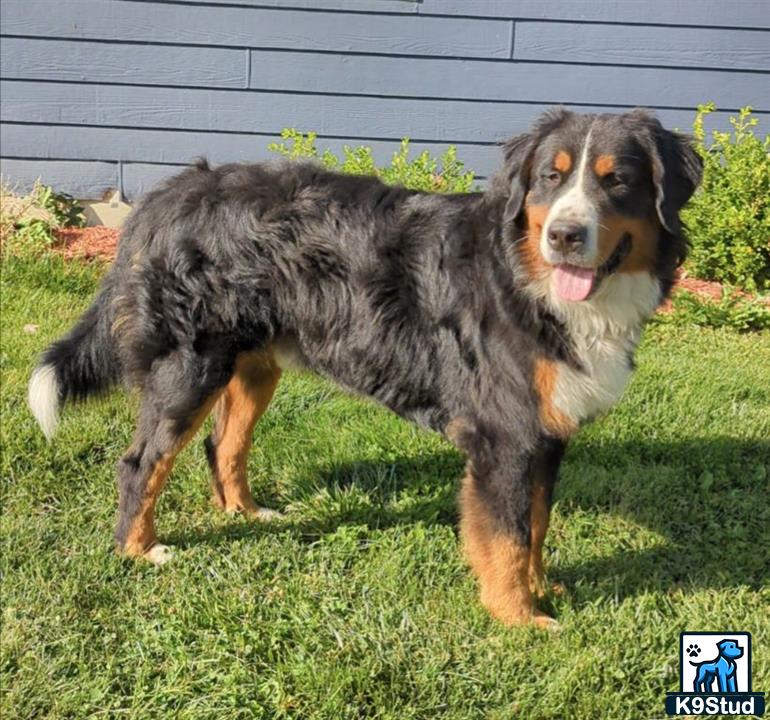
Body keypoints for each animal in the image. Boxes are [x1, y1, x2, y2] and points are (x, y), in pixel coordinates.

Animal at [30, 109, 700, 628]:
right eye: (549, 179)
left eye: (617, 182)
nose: (563, 234)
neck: (527, 277)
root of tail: (171, 193)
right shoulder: (505, 437)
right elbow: (507, 538)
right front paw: (520, 619)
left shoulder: (547, 433)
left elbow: (534, 525)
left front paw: (542, 589)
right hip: (189, 367)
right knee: (142, 463)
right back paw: (138, 551)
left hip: (252, 364)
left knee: (224, 444)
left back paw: (246, 513)